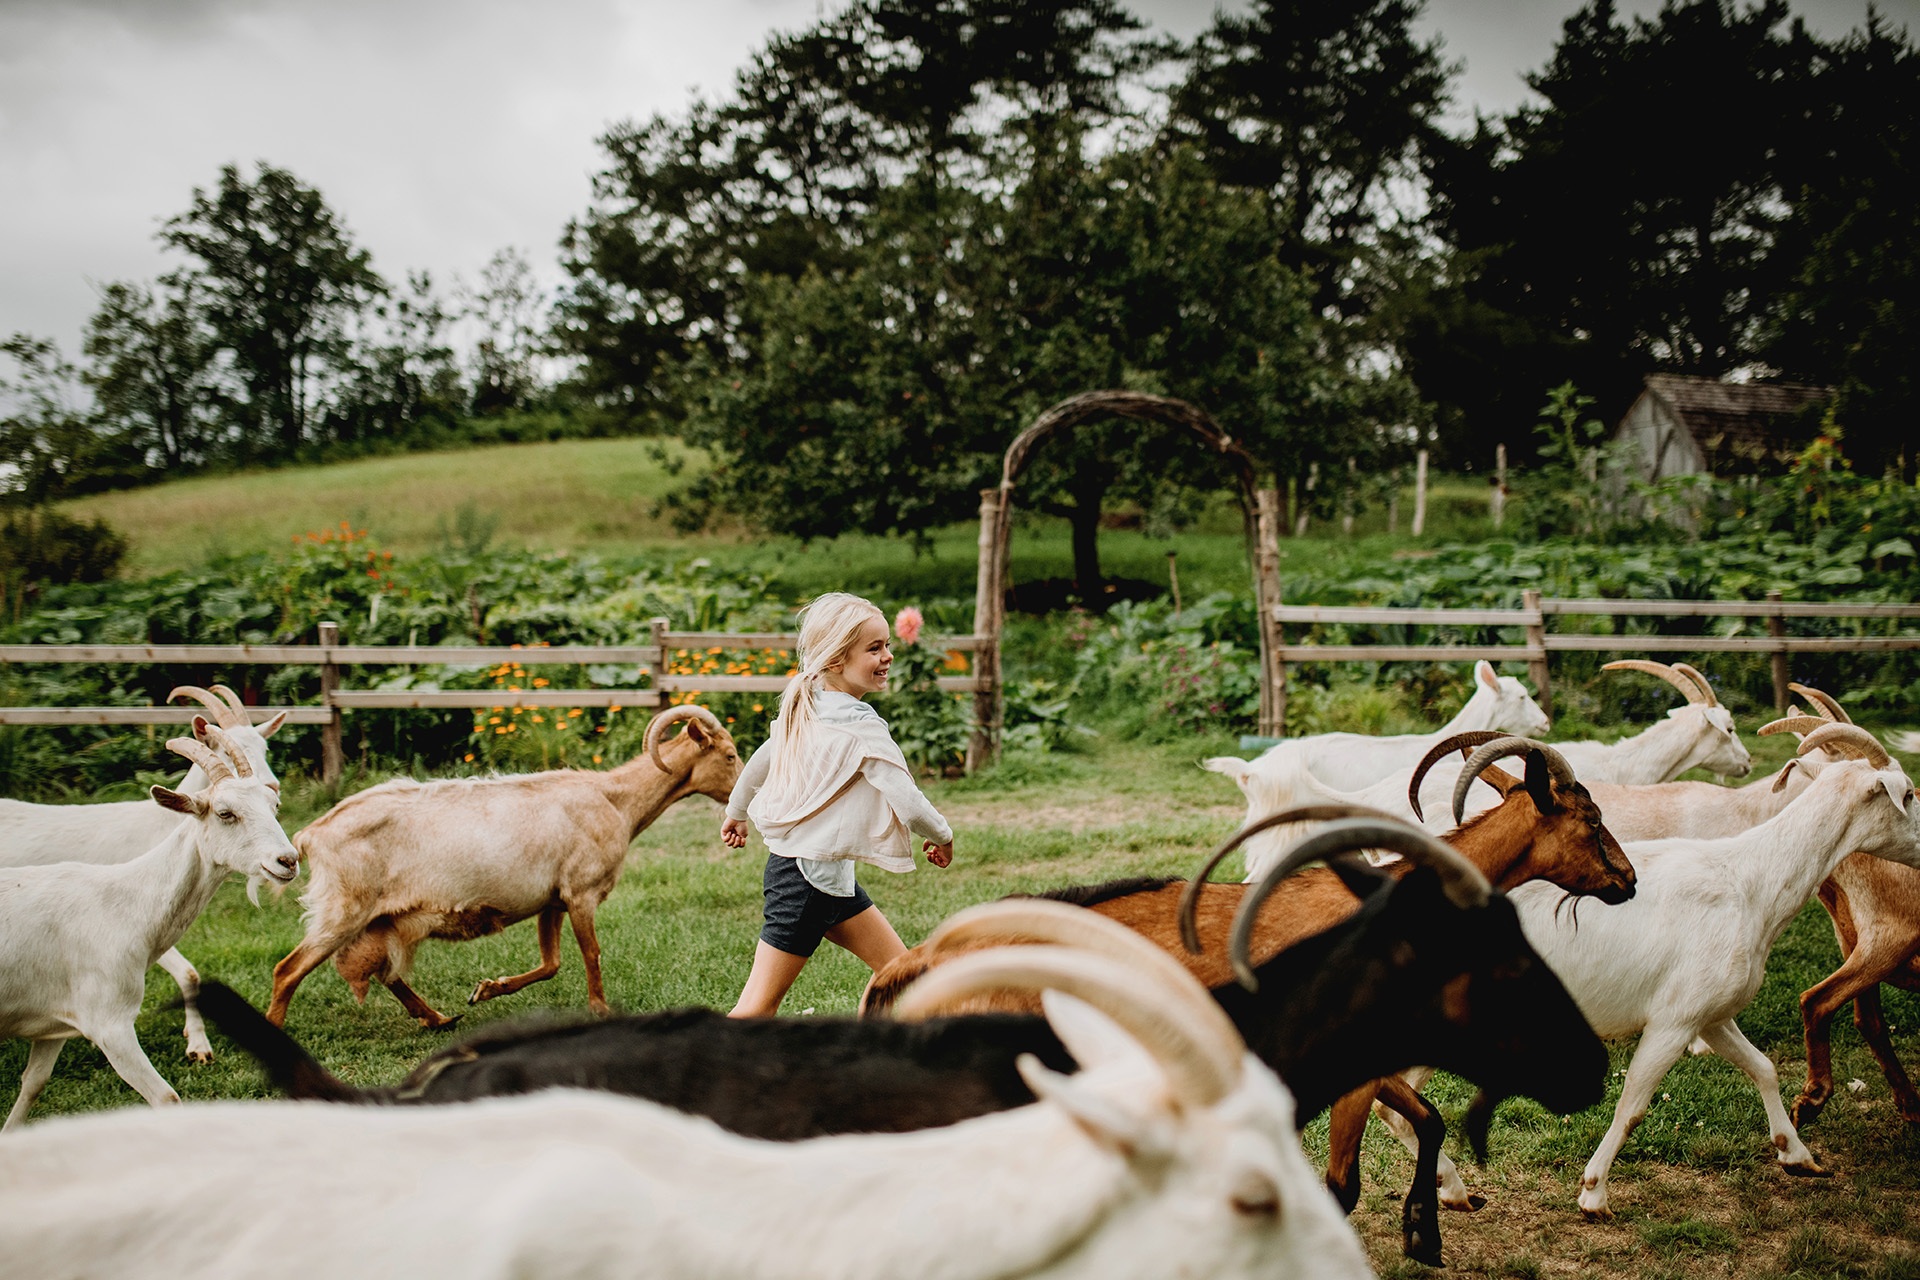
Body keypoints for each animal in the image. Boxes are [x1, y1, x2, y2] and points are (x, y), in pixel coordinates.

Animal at [0, 729, 295, 1128]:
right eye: (225, 813)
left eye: (273, 805)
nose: (288, 860)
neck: (124, 903)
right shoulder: (111, 1024)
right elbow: (167, 1098)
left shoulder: (55, 1020)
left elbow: (33, 1083)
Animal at [270, 710, 741, 1028]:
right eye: (731, 755)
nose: (744, 795)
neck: (615, 800)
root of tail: (311, 834)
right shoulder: (581, 892)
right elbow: (591, 953)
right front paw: (600, 1010)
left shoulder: (553, 900)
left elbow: (551, 963)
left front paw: (485, 990)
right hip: (342, 911)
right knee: (287, 970)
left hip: (381, 920)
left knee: (386, 972)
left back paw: (438, 1018)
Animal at [1497, 725, 1920, 1220]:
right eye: (1908, 793)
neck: (1748, 881)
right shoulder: (1673, 1021)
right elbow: (1632, 1106)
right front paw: (1593, 1193)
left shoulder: (1712, 1012)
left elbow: (1764, 1067)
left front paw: (1796, 1154)